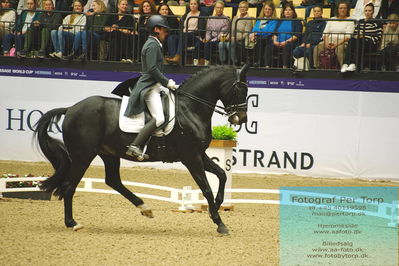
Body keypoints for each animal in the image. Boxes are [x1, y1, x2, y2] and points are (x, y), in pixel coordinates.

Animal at [34, 64, 248, 235]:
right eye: (240, 88)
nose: (241, 119)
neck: (190, 108)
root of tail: (70, 109)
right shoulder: (191, 157)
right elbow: (206, 188)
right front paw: (220, 223)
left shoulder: (199, 154)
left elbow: (221, 175)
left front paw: (217, 207)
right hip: (83, 155)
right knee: (70, 185)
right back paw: (72, 223)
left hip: (108, 154)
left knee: (113, 181)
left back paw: (145, 208)